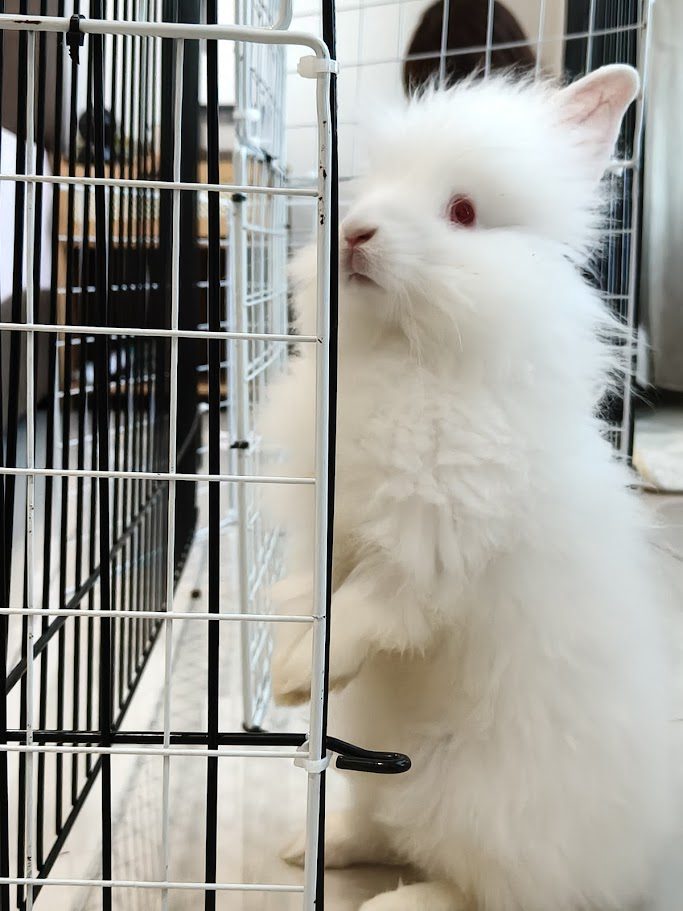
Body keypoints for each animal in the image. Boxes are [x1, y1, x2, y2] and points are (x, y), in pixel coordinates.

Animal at [258, 66, 676, 911]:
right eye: (371, 184)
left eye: (461, 213)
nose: (354, 233)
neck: (409, 356)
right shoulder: (327, 528)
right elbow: (308, 592)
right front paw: (291, 678)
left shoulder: (429, 546)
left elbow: (363, 607)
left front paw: (294, 675)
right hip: (377, 764)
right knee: (381, 821)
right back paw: (308, 847)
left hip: (489, 811)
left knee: (499, 891)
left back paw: (396, 901)